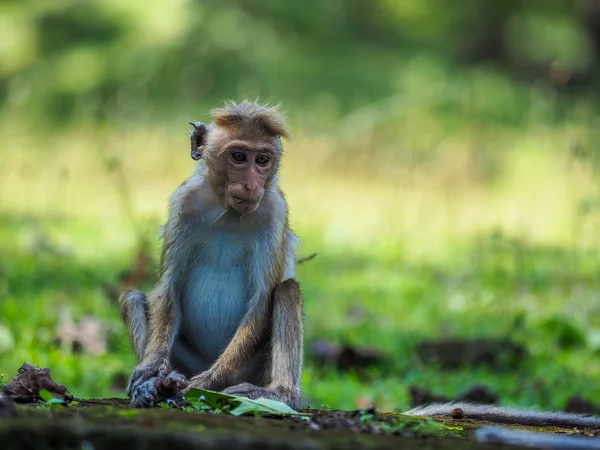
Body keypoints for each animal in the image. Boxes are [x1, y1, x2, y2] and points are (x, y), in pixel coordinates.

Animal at [118, 100, 304, 410]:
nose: (252, 185)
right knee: (132, 298)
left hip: (256, 371)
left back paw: (278, 393)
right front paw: (150, 372)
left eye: (263, 160)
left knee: (287, 290)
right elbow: (168, 287)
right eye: (239, 156)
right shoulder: (183, 203)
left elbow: (261, 301)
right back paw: (160, 385)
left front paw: (204, 384)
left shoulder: (274, 211)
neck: (227, 211)